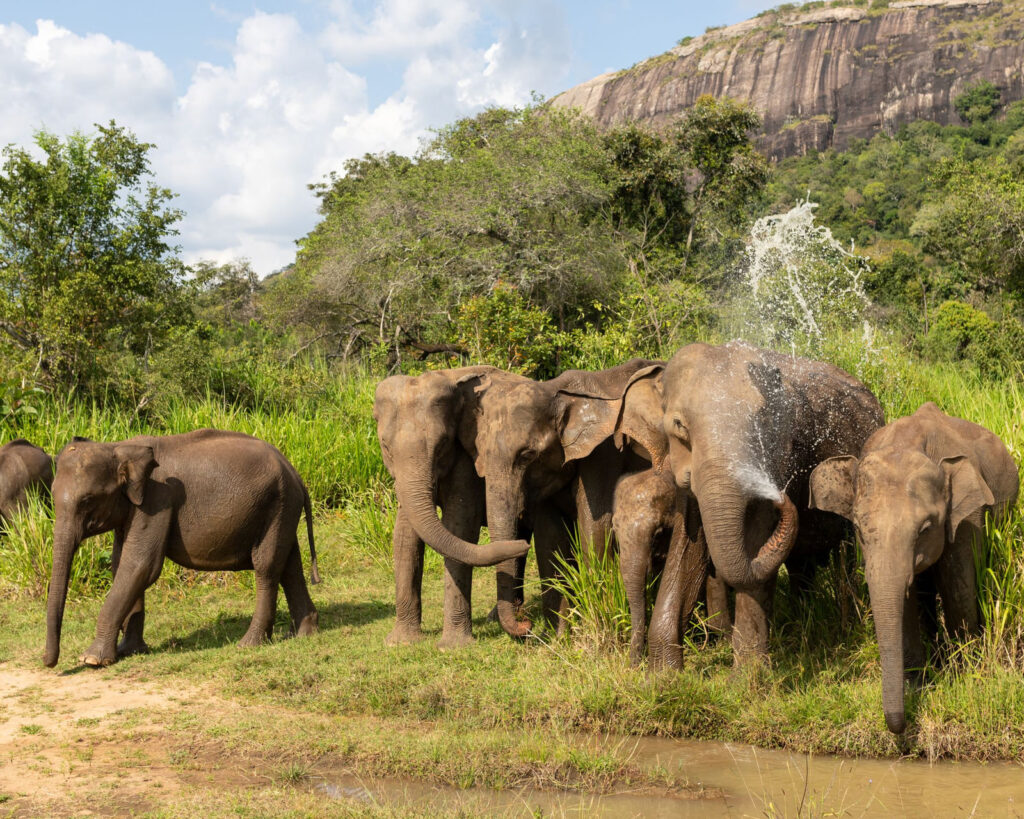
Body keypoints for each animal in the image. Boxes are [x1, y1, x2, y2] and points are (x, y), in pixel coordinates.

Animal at [44, 429, 321, 668]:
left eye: (87, 500)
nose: (48, 663)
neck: (118, 447)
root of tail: (296, 474)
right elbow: (121, 563)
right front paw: (129, 651)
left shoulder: (157, 500)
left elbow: (141, 565)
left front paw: (91, 660)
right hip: (283, 508)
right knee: (290, 566)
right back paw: (304, 634)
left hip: (277, 504)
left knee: (267, 567)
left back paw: (249, 644)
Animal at [373, 367, 532, 648]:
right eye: (385, 446)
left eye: (443, 443)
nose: (520, 545)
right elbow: (404, 536)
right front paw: (400, 643)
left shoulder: (468, 458)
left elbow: (460, 527)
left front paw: (453, 647)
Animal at [627, 341, 884, 665]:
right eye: (679, 425)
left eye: (762, 426)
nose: (783, 497)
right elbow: (687, 547)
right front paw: (663, 672)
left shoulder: (779, 459)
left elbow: (756, 539)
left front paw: (748, 674)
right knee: (802, 564)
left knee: (846, 559)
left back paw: (846, 626)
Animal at [808, 402, 1019, 734]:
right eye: (858, 528)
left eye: (925, 529)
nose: (899, 725)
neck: (908, 442)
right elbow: (904, 602)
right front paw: (917, 684)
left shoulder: (966, 517)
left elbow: (958, 588)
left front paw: (964, 676)